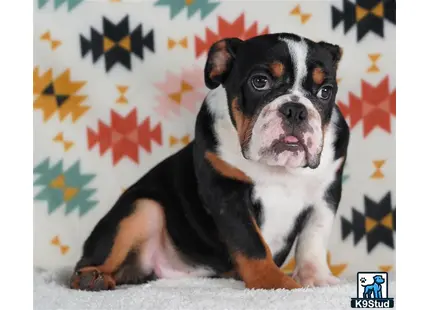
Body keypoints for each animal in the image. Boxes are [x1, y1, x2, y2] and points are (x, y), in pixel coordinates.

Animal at [68, 32, 350, 292]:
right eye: (260, 82)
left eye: (325, 91)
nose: (296, 109)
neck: (278, 168)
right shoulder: (227, 192)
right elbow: (251, 243)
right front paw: (275, 283)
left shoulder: (326, 193)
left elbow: (314, 238)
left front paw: (316, 277)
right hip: (141, 208)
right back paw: (91, 277)